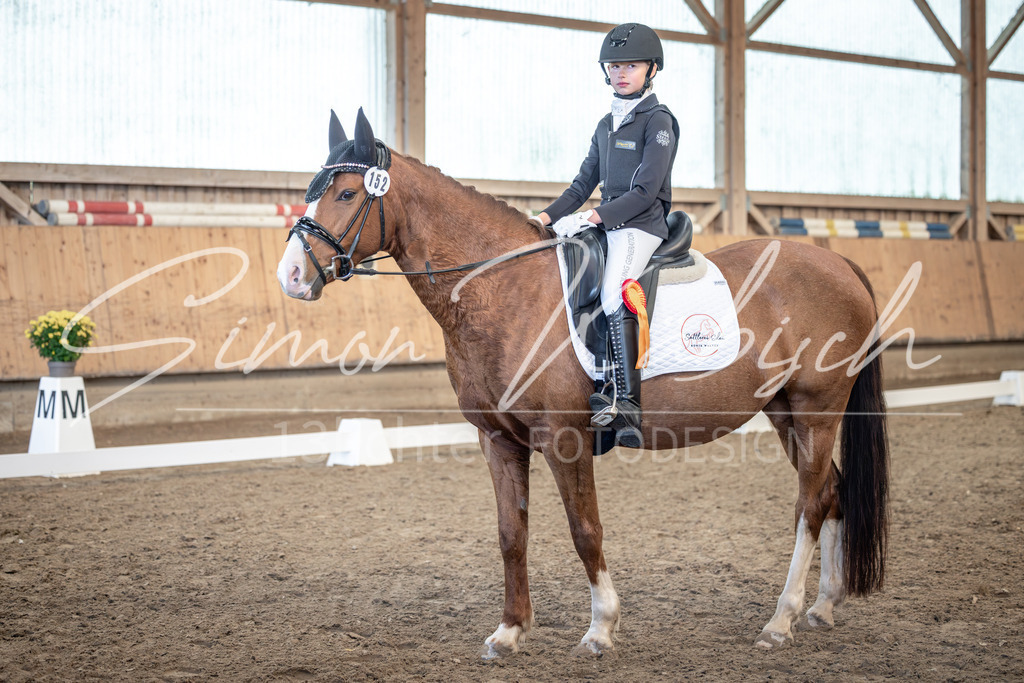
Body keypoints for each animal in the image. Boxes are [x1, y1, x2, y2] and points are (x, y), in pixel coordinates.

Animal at [277, 109, 888, 658]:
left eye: (348, 194)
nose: (291, 277)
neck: (505, 290)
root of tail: (839, 264)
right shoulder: (498, 440)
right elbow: (511, 533)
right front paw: (509, 632)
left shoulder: (565, 440)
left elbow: (584, 530)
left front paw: (600, 629)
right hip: (785, 411)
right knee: (831, 493)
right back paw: (822, 607)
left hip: (817, 407)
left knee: (809, 504)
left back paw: (781, 621)